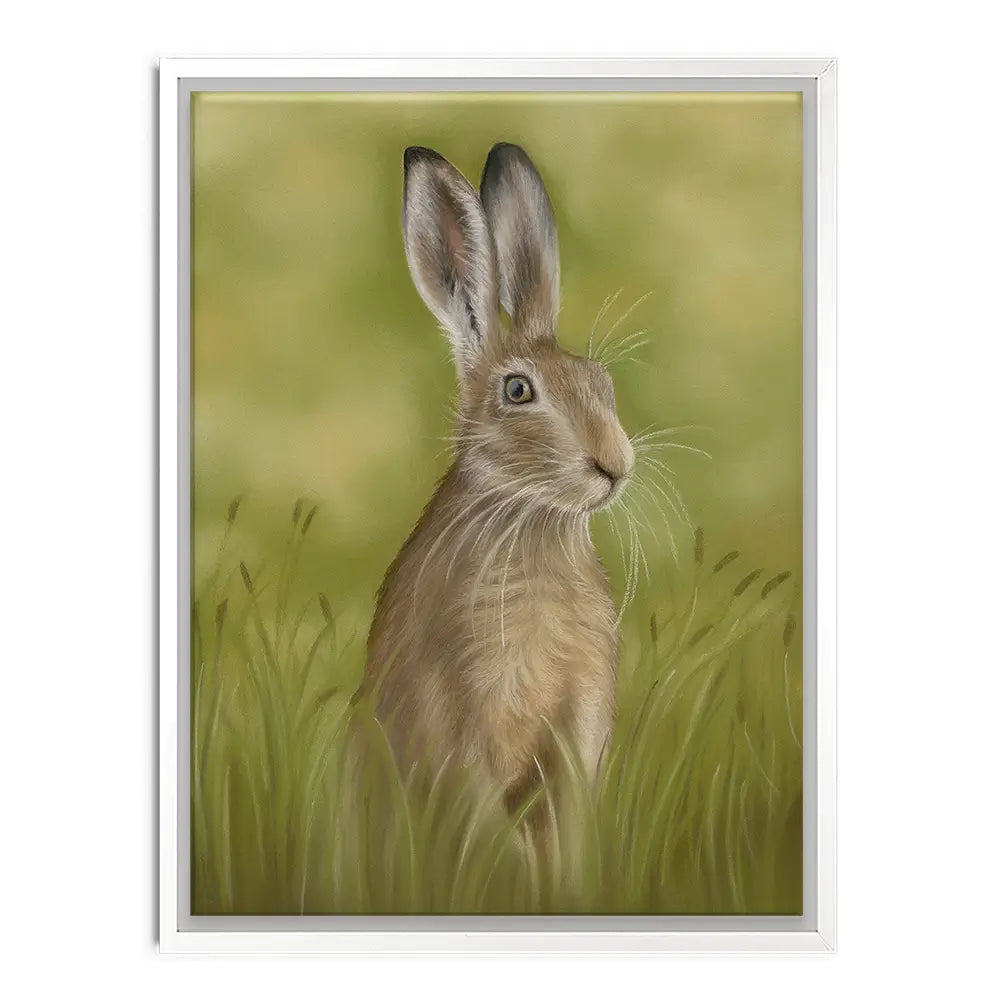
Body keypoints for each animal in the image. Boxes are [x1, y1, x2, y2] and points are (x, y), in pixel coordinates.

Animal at [362, 142, 635, 828]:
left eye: (600, 381)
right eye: (517, 391)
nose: (615, 465)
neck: (533, 520)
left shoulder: (578, 728)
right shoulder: (462, 721)